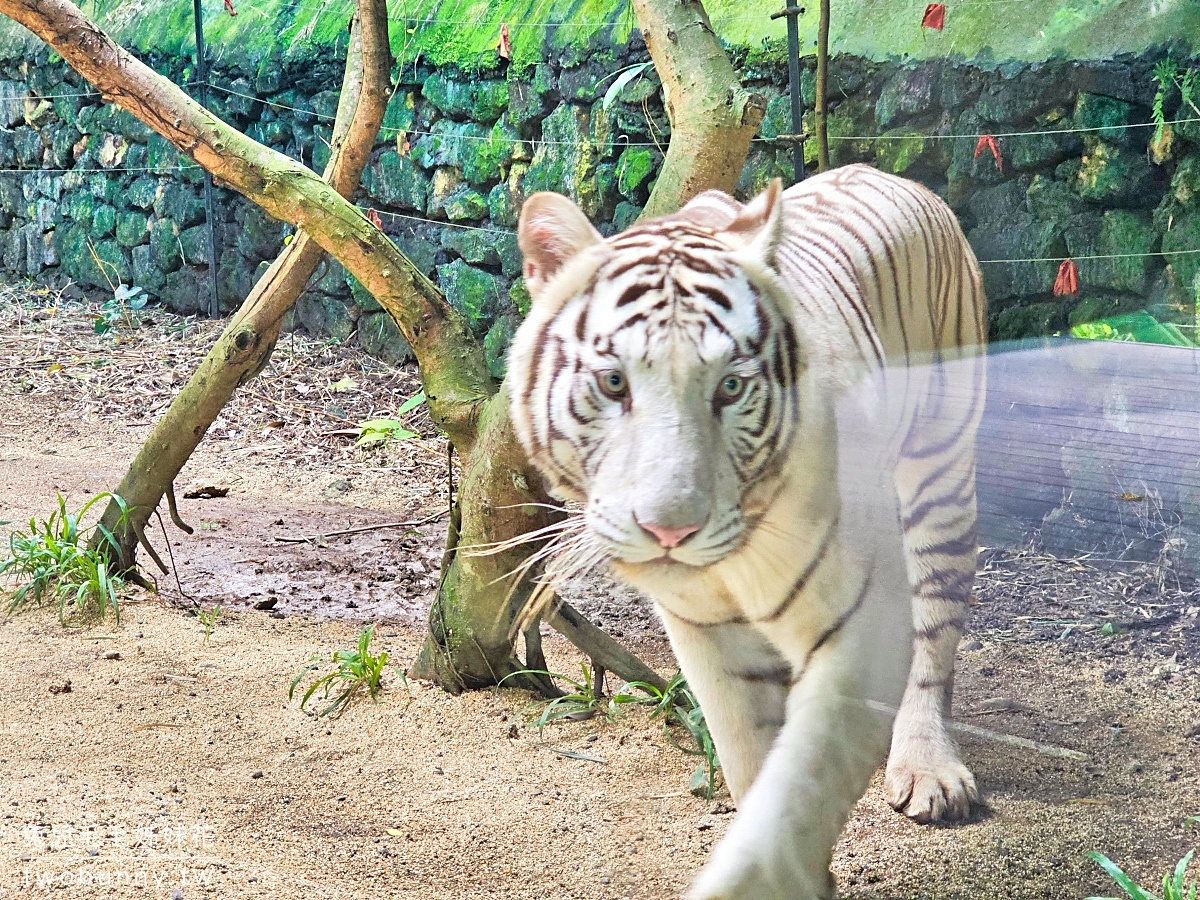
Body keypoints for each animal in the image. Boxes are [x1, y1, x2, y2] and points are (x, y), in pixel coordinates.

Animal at [506, 165, 984, 897]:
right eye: (613, 382)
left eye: (730, 388)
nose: (669, 529)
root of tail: (893, 175)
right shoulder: (703, 633)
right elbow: (750, 763)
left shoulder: (859, 624)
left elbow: (801, 784)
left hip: (941, 477)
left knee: (934, 632)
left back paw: (929, 769)